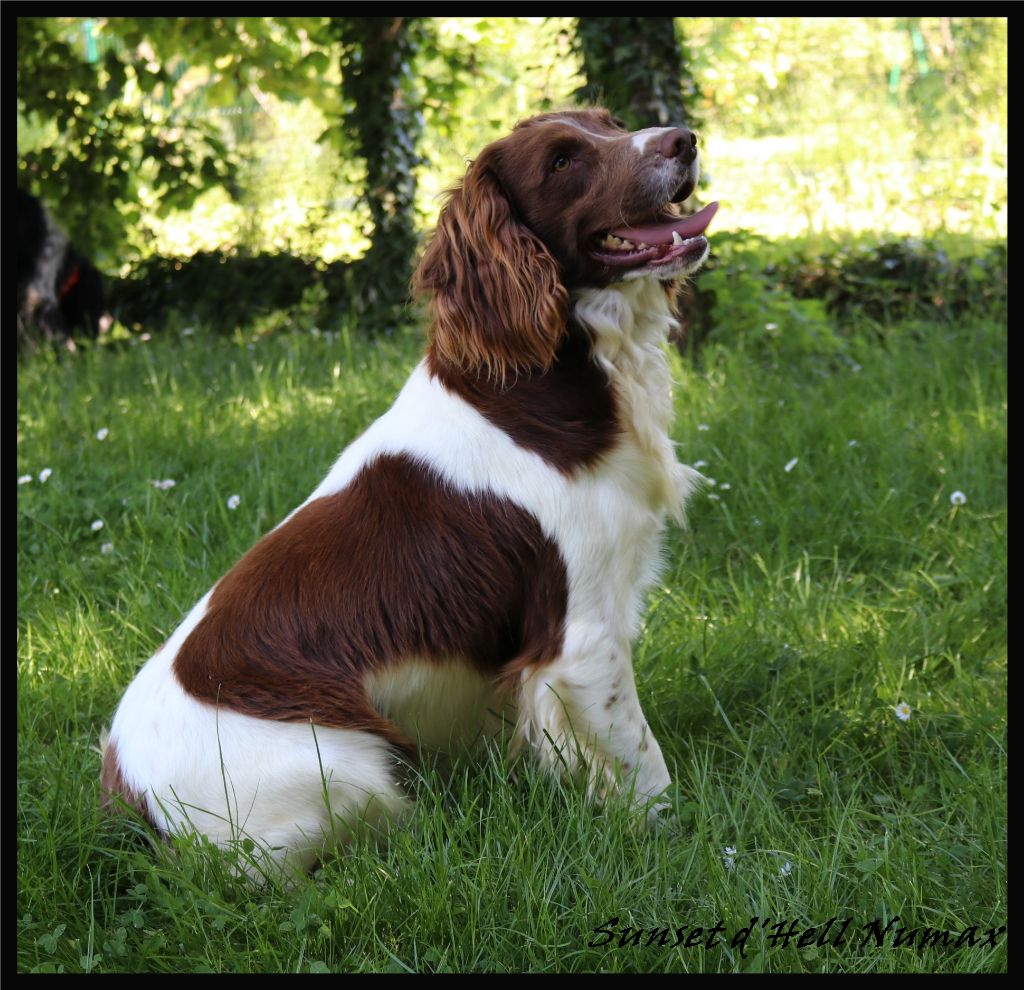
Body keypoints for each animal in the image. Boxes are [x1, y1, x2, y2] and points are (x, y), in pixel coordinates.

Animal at [99, 108, 716, 876]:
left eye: (611, 122)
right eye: (563, 161)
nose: (683, 139)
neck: (553, 378)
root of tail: (132, 800)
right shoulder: (582, 639)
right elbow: (643, 764)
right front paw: (685, 846)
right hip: (349, 767)